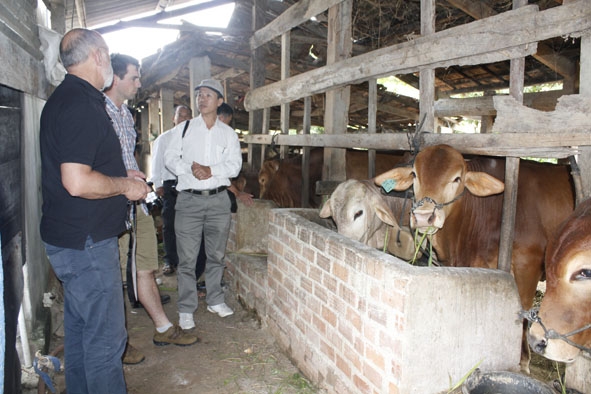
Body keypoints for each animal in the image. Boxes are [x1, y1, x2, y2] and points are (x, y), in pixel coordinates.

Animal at [376, 145, 576, 372]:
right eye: (415, 175)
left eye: (457, 178)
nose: (423, 217)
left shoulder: (528, 263)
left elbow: (524, 311)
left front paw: (523, 361)